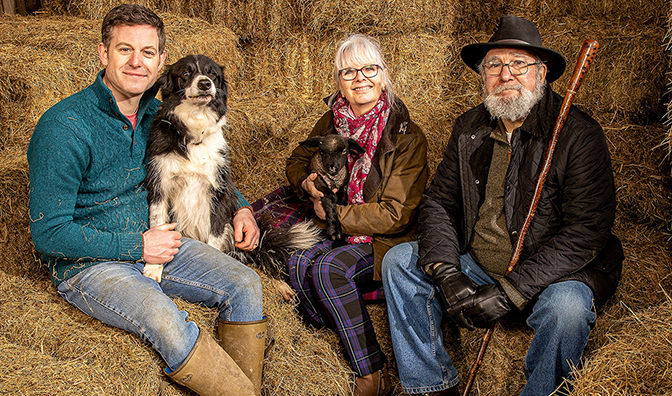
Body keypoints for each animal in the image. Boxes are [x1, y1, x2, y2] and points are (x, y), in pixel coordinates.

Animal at [145, 54, 318, 298]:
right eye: (186, 73)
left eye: (212, 73)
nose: (205, 83)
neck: (195, 130)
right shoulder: (159, 186)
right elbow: (157, 227)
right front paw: (153, 269)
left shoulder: (220, 192)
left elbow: (214, 241)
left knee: (258, 255)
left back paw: (281, 286)